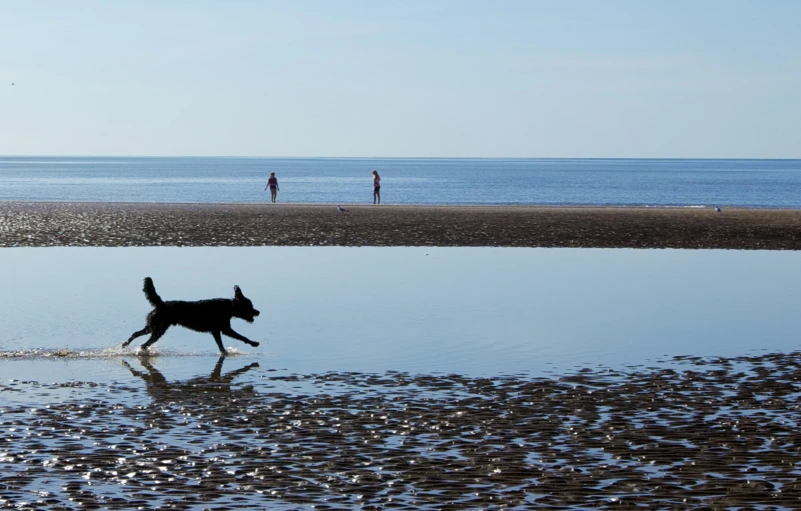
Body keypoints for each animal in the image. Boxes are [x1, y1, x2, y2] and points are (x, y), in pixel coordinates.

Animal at [122, 280, 260, 356]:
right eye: (250, 306)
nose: (258, 312)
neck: (229, 307)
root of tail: (161, 304)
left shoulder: (216, 331)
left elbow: (220, 345)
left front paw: (224, 353)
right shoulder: (225, 329)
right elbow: (242, 337)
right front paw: (254, 343)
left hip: (152, 327)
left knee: (136, 334)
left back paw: (125, 345)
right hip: (158, 329)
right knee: (144, 344)